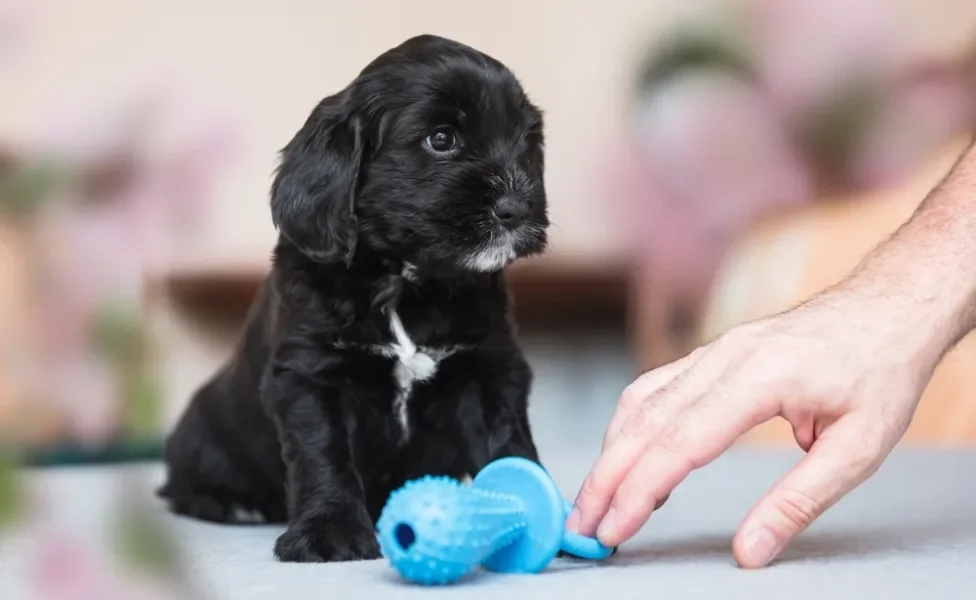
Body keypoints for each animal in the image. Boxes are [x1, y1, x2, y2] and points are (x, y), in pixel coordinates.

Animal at [161, 35, 556, 564]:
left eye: (527, 143)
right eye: (442, 139)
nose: (517, 207)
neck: (407, 281)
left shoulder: (489, 371)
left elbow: (510, 444)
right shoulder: (310, 377)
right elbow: (324, 456)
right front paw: (330, 531)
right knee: (181, 485)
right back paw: (232, 504)